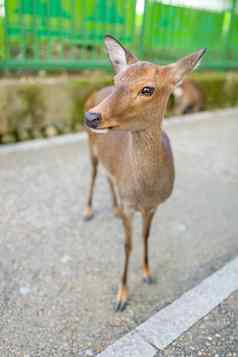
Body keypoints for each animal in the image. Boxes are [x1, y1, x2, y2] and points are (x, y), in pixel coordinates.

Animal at [83, 34, 205, 310]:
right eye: (116, 81)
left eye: (147, 89)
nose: (91, 116)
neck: (145, 191)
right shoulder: (132, 206)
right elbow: (127, 245)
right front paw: (121, 296)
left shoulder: (156, 205)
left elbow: (146, 236)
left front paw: (148, 274)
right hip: (89, 147)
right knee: (94, 174)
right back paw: (88, 211)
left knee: (108, 176)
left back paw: (114, 208)